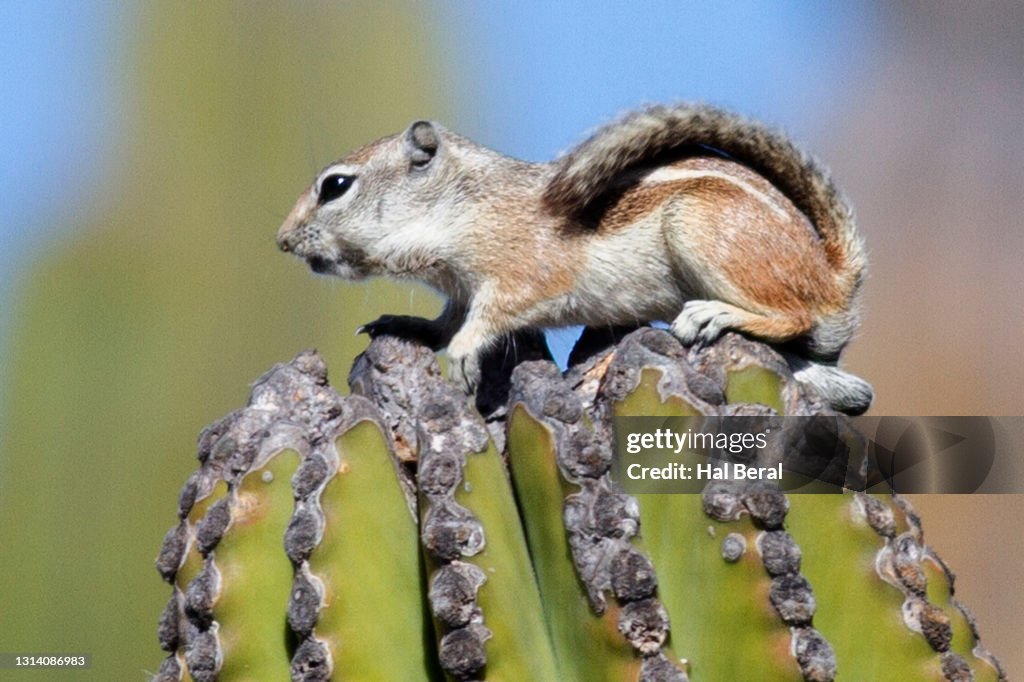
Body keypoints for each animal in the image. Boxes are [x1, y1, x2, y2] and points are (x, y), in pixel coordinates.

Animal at [277, 104, 873, 414]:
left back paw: (715, 313)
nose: (283, 241)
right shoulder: (461, 290)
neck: (459, 204)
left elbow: (491, 317)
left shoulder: (522, 273)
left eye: (335, 186)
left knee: (792, 314)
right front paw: (407, 324)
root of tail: (834, 272)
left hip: (702, 227)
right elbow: (445, 321)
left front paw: (465, 354)